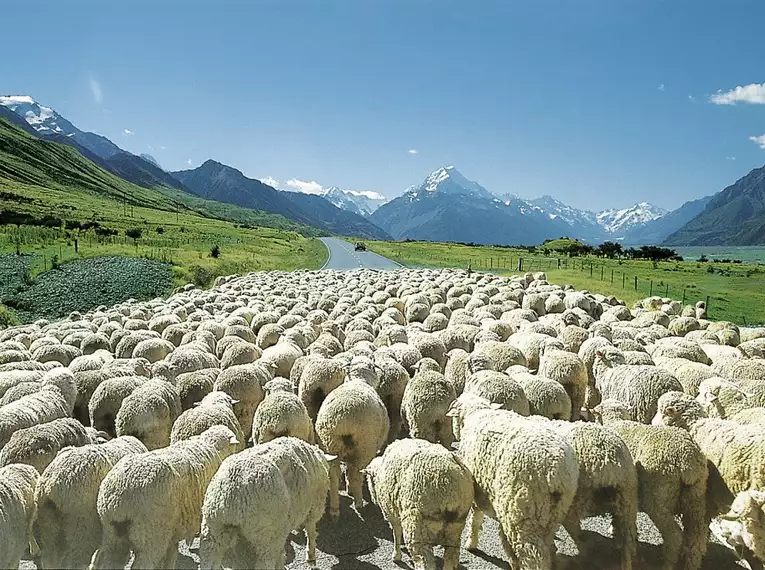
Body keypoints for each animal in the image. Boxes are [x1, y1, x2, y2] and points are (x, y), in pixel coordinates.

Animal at [90, 422, 239, 568]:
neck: (213, 447)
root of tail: (118, 495)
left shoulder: (174, 529)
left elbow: (171, 555)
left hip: (112, 533)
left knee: (101, 559)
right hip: (151, 535)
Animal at [314, 378, 390, 506]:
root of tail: (345, 418)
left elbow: (347, 470)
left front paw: (349, 489)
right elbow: (351, 472)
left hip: (330, 444)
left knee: (333, 476)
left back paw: (334, 507)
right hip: (364, 447)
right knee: (356, 475)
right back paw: (358, 502)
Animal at [362, 434, 472, 568]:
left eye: (368, 481)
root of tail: (449, 487)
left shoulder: (391, 511)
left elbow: (396, 532)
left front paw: (396, 556)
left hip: (417, 528)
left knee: (425, 562)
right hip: (456, 526)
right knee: (451, 559)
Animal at [592, 398, 712, 568]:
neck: (617, 421)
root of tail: (688, 460)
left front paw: (615, 532)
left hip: (657, 497)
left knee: (674, 536)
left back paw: (667, 565)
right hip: (696, 496)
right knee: (696, 538)